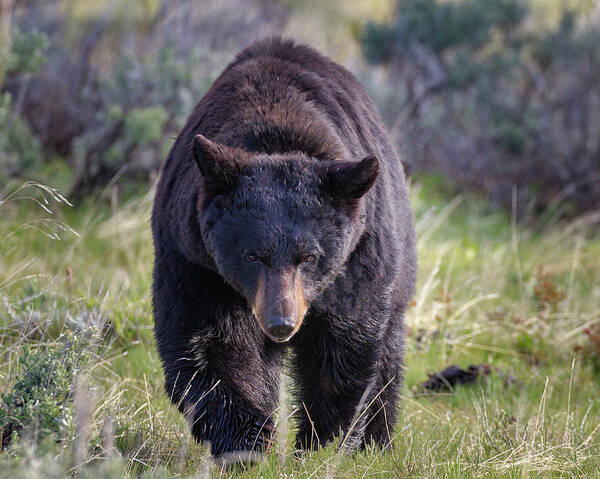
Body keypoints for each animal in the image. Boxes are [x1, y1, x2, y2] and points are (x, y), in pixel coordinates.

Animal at [150, 38, 414, 462]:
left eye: (308, 257)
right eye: (252, 255)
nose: (281, 324)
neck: (278, 130)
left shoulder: (357, 259)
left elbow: (343, 346)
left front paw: (322, 444)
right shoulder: (195, 260)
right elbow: (210, 343)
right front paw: (246, 443)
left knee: (388, 354)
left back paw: (377, 444)